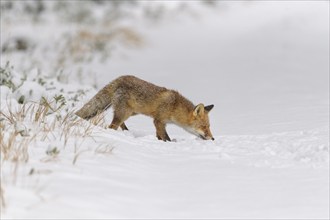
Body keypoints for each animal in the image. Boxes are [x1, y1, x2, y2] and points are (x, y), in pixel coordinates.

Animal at [75, 75, 215, 141]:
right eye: (204, 127)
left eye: (209, 126)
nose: (213, 138)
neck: (174, 106)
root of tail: (119, 78)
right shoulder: (158, 121)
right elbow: (165, 137)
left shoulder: (160, 122)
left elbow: (160, 136)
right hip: (124, 112)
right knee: (112, 126)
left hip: (131, 112)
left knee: (119, 123)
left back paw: (126, 131)